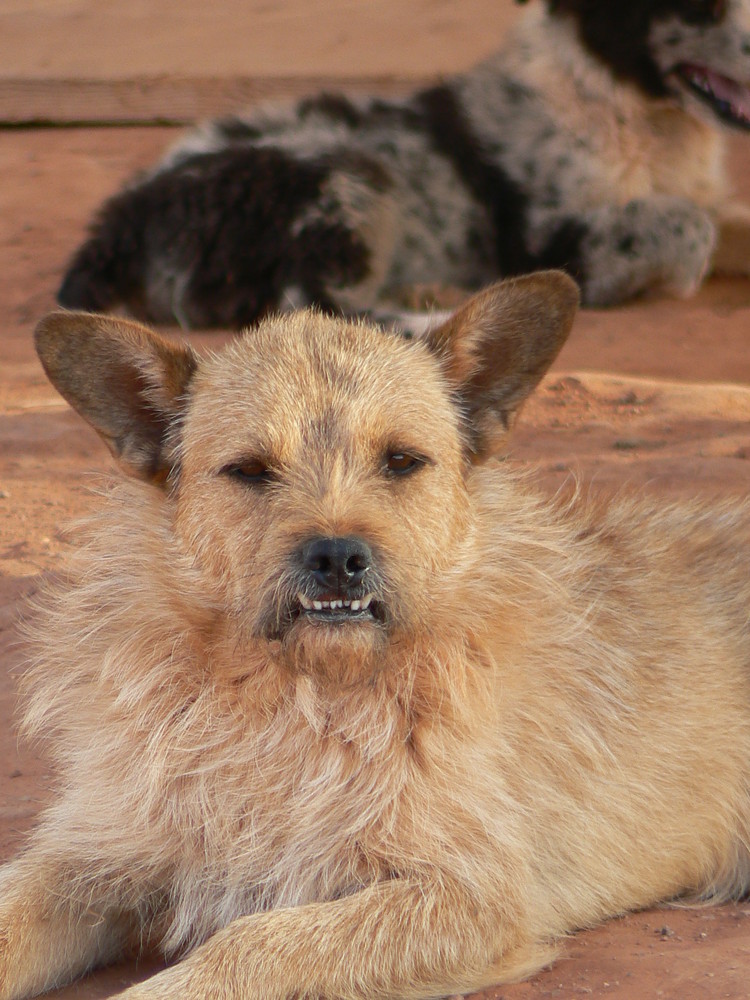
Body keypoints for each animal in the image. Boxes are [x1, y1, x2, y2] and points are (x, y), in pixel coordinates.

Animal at [1, 268, 750, 1000]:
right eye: (249, 469)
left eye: (401, 461)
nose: (337, 556)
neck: (293, 701)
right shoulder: (102, 851)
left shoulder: (469, 894)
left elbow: (253, 942)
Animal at [60, 0, 750, 328]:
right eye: (699, 5)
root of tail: (115, 227)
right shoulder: (547, 239)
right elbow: (689, 226)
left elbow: (720, 220)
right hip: (348, 170)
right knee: (304, 305)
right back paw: (441, 316)